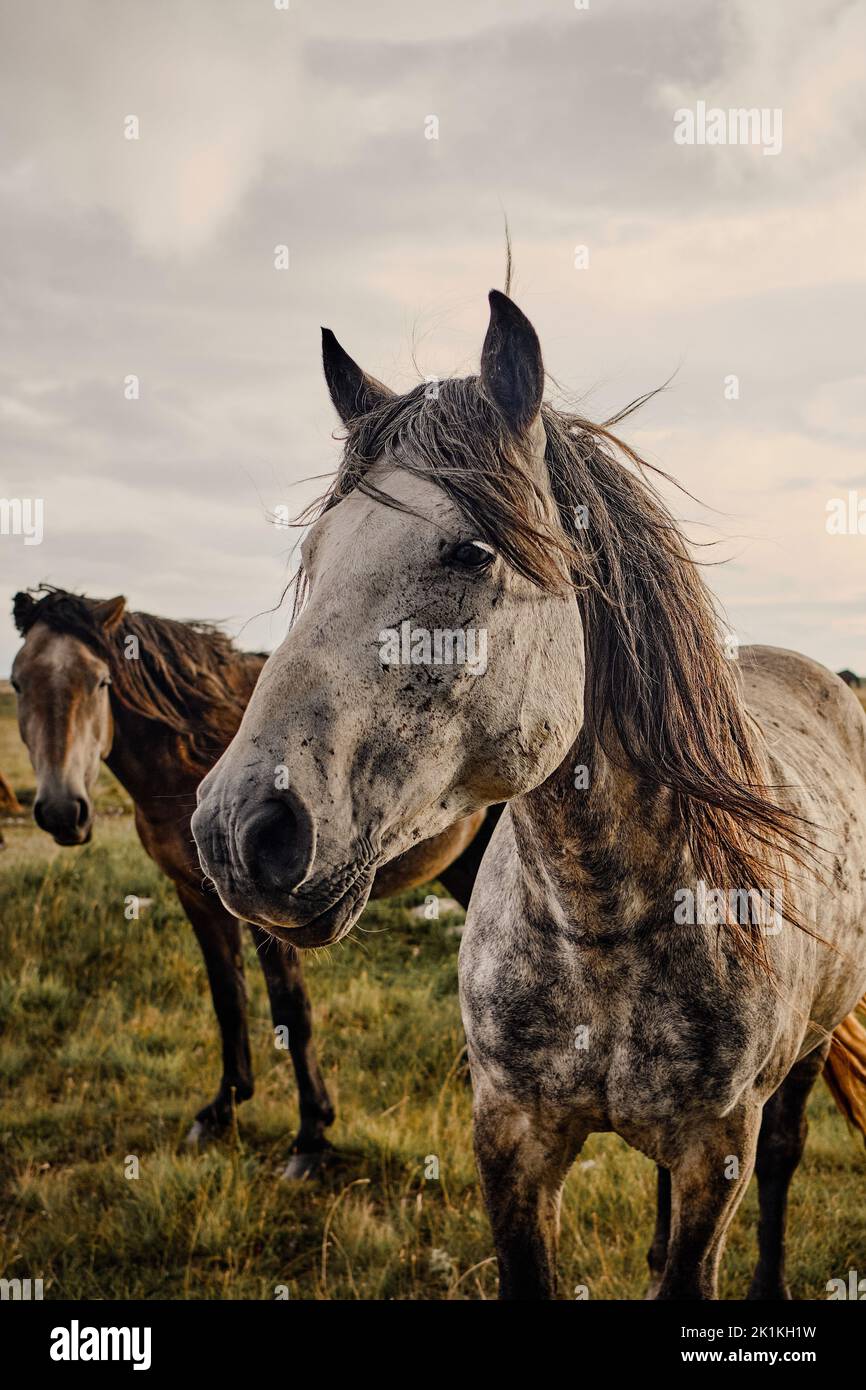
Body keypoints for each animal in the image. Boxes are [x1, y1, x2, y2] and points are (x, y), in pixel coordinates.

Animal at [10, 586, 501, 1175]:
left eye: (100, 682)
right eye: (18, 683)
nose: (63, 813)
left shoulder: (272, 913)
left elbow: (292, 1010)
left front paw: (311, 1136)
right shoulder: (194, 896)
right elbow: (227, 997)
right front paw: (222, 1109)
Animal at [192, 289, 866, 1296]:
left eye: (472, 551)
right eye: (315, 551)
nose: (241, 830)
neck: (601, 928)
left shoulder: (718, 1155)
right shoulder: (510, 1137)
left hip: (806, 1058)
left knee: (786, 1157)